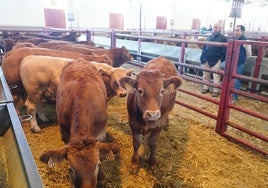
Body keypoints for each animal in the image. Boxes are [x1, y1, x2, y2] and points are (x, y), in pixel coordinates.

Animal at [39, 59, 119, 188]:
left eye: (97, 165)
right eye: (70, 169)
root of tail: (80, 60)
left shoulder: (101, 133)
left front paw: (102, 178)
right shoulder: (65, 134)